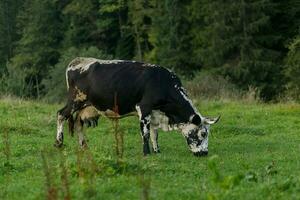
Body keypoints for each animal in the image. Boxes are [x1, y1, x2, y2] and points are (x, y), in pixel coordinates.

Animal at [54, 57, 220, 157]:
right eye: (203, 133)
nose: (204, 153)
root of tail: (78, 61)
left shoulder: (155, 113)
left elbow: (154, 134)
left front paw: (157, 151)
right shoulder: (144, 107)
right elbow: (145, 133)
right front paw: (146, 153)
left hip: (86, 107)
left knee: (78, 124)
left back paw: (83, 146)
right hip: (75, 101)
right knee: (61, 115)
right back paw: (59, 142)